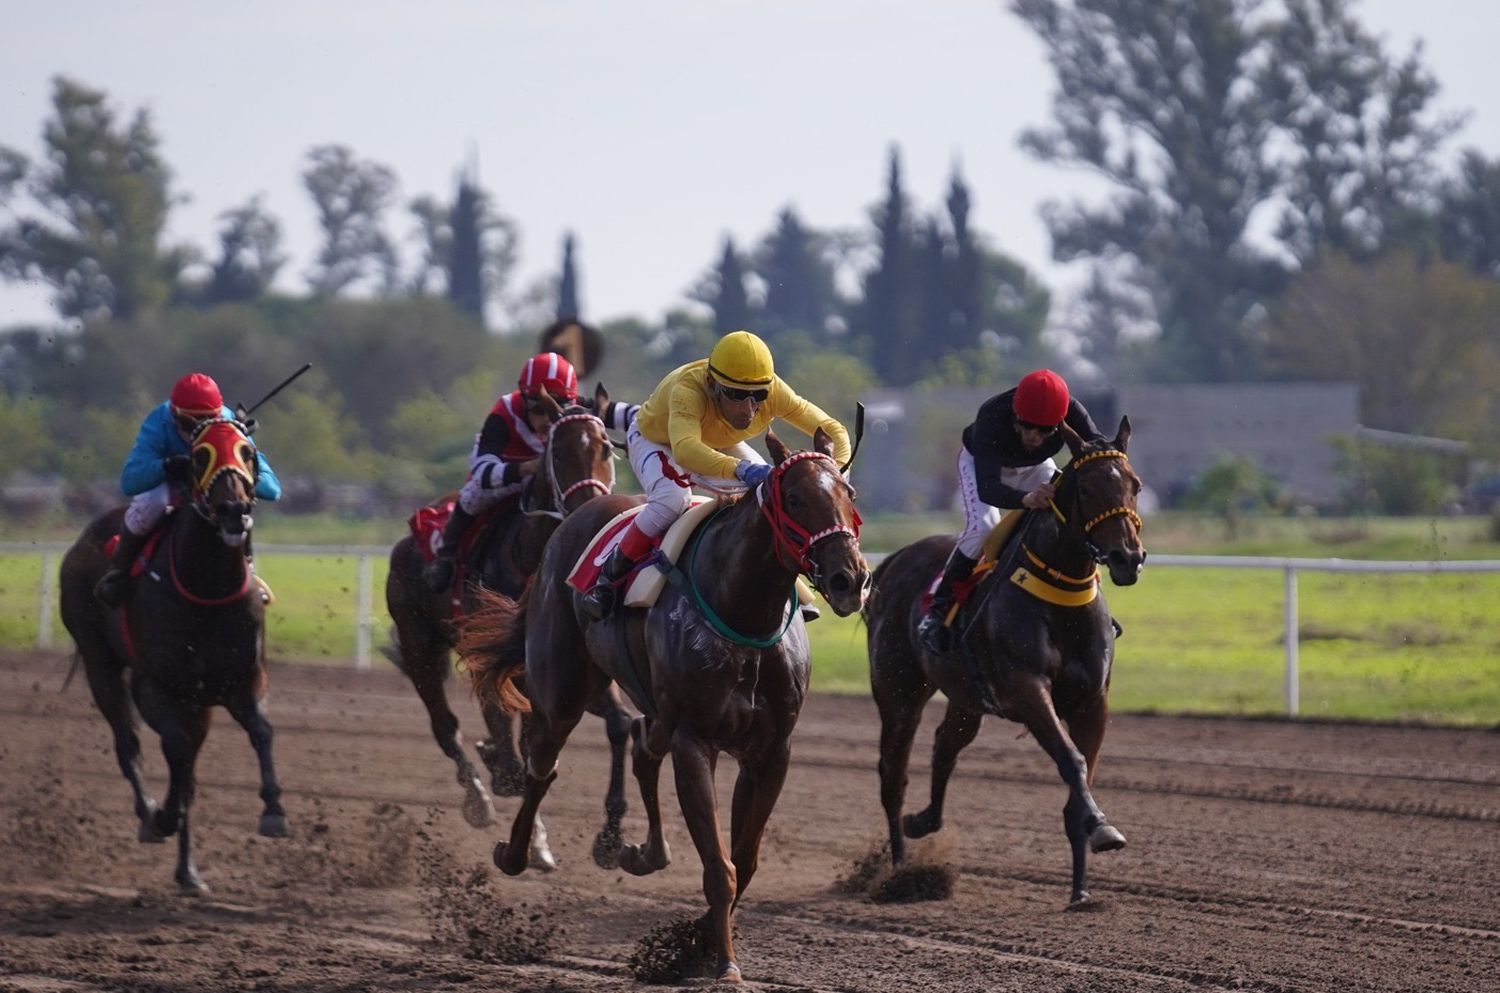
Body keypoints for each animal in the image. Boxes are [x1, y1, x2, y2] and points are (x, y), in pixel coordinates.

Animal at [56, 417, 286, 900]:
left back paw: (188, 872)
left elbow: (260, 732)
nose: (233, 510)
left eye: (248, 452)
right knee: (129, 746)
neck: (208, 589)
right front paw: (160, 815)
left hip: (197, 705)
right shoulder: (157, 688)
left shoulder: (242, 680)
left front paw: (274, 811)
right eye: (199, 456)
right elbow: (176, 754)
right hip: (100, 664)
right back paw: (149, 815)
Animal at [384, 387, 630, 858]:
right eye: (558, 452)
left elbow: (620, 723)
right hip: (419, 643)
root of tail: (407, 543)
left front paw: (610, 837)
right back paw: (482, 796)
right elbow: (518, 753)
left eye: (606, 448)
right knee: (448, 729)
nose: (589, 508)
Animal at [459, 432, 870, 984]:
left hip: (650, 706)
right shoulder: (694, 740)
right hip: (562, 687)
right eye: (795, 498)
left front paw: (693, 946)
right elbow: (720, 866)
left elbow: (744, 859)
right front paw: (723, 963)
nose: (851, 579)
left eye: (849, 492)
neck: (745, 616)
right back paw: (518, 851)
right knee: (542, 764)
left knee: (639, 746)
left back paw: (640, 851)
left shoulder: (770, 751)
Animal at [864, 420, 1140, 912]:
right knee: (893, 775)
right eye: (1088, 488)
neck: (1059, 593)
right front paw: (1101, 828)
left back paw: (924, 822)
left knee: (946, 744)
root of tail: (894, 560)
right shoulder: (1028, 690)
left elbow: (1082, 776)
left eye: (1136, 485)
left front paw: (1082, 886)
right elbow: (1071, 761)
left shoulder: (1093, 702)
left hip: (966, 696)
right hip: (898, 694)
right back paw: (898, 870)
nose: (1129, 557)